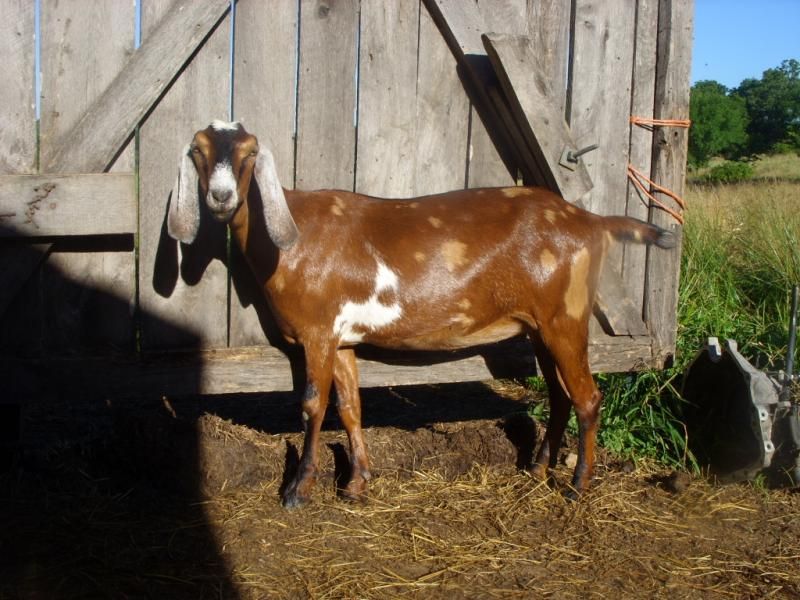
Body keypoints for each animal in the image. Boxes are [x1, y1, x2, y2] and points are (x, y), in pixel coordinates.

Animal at [169, 120, 676, 507]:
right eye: (198, 150)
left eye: (250, 153)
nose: (220, 197)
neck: (292, 237)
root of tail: (592, 222)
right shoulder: (342, 337)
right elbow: (350, 407)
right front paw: (356, 484)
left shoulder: (317, 333)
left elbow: (313, 406)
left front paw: (297, 490)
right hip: (540, 326)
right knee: (559, 395)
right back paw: (536, 469)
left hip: (565, 318)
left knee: (588, 398)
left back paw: (577, 485)